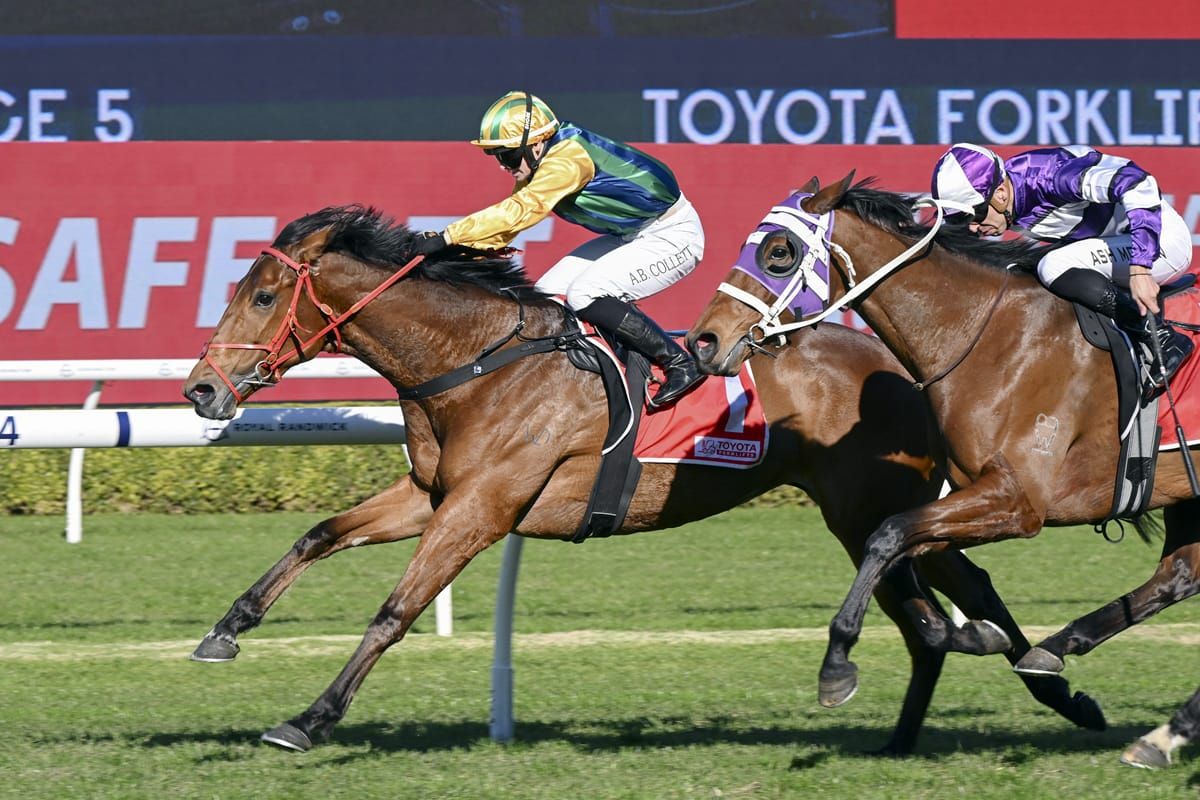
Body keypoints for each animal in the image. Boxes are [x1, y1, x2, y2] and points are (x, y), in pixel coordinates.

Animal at [181, 204, 1102, 754]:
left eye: (261, 296)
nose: (201, 391)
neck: (472, 361)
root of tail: (902, 364)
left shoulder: (483, 506)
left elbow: (393, 611)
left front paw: (308, 719)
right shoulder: (433, 495)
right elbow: (318, 535)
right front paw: (226, 629)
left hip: (873, 502)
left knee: (950, 595)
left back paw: (1042, 687)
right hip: (857, 508)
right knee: (939, 606)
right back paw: (986, 708)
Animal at [686, 176, 1200, 726]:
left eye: (779, 252)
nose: (703, 341)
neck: (986, 335)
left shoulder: (1019, 500)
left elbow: (888, 536)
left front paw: (838, 663)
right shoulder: (969, 493)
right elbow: (905, 548)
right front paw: (969, 634)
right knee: (1178, 575)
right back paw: (1059, 651)